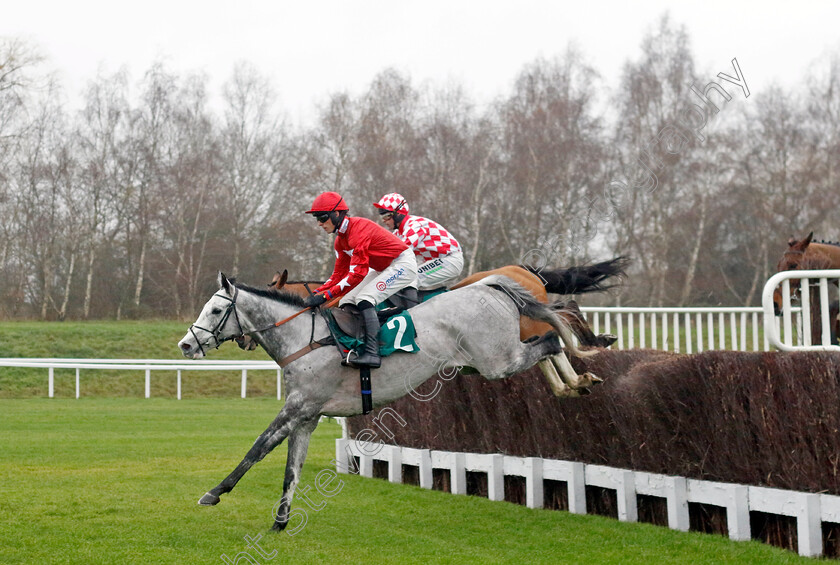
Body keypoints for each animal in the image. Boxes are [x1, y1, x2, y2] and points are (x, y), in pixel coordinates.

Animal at [178, 272, 596, 528]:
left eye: (217, 309)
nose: (186, 345)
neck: (305, 339)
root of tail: (490, 285)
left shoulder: (299, 406)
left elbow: (258, 448)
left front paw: (214, 493)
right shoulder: (308, 415)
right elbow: (291, 468)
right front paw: (281, 520)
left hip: (497, 360)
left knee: (551, 340)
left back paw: (576, 379)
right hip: (482, 363)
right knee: (546, 339)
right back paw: (574, 384)